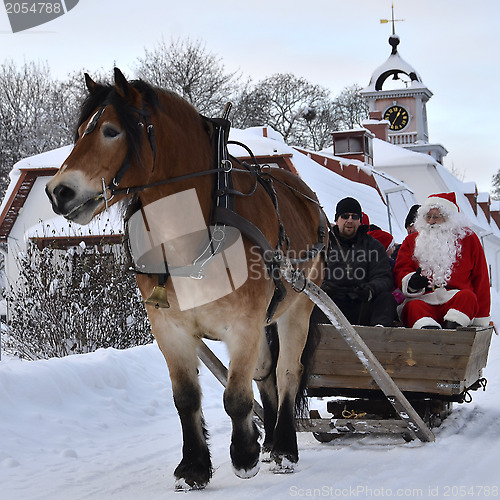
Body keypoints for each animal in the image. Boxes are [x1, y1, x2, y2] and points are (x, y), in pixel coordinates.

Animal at [46, 68, 328, 490]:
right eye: (80, 131)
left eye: (111, 131)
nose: (58, 191)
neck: (193, 236)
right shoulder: (171, 329)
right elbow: (187, 399)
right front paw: (194, 466)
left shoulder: (243, 325)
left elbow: (236, 397)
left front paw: (244, 455)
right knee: (265, 375)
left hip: (299, 306)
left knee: (286, 373)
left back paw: (282, 448)